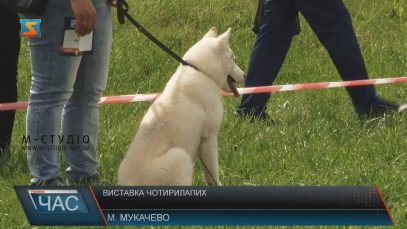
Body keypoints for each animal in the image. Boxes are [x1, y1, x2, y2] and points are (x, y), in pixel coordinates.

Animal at [118, 27, 245, 185]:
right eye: (233, 58)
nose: (245, 75)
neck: (201, 71)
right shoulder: (209, 139)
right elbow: (213, 174)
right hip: (181, 157)